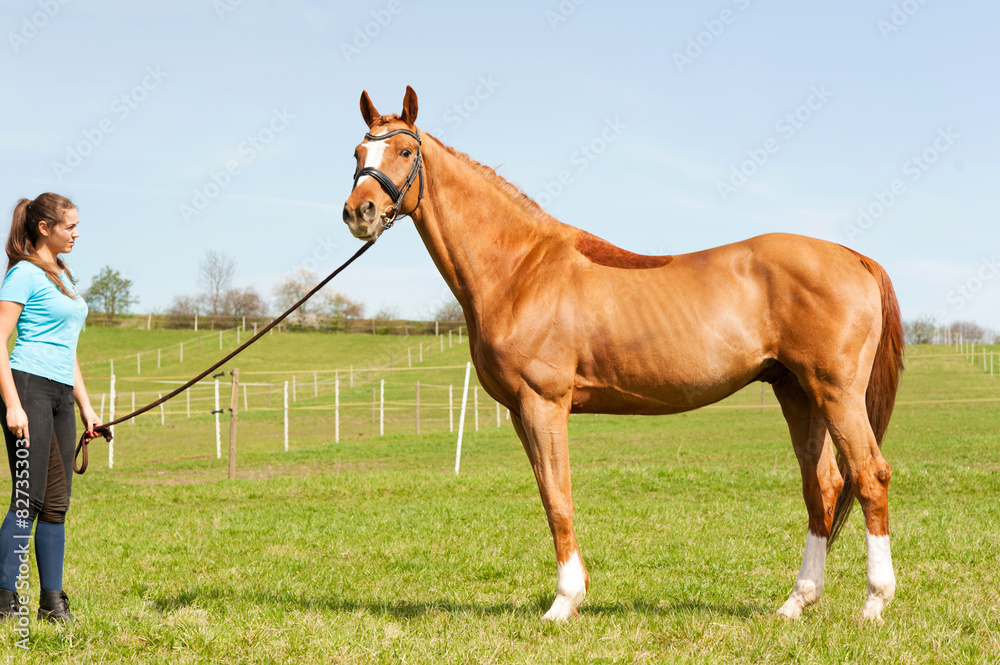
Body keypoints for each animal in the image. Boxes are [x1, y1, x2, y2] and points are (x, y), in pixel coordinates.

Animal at [341, 86, 904, 624]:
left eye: (405, 150)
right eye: (358, 152)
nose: (358, 212)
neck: (521, 269)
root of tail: (854, 257)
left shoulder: (544, 404)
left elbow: (558, 499)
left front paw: (564, 602)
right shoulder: (522, 413)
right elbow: (549, 494)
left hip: (836, 394)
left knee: (869, 476)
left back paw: (874, 603)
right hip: (798, 393)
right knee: (823, 487)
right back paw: (795, 603)